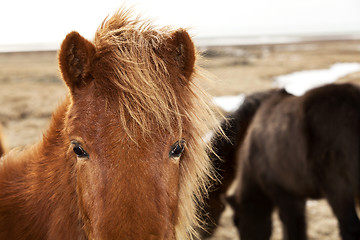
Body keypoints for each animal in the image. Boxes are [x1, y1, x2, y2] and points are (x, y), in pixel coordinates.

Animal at [226, 83, 360, 240]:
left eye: (236, 221)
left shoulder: (284, 193)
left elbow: (294, 227)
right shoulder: (298, 194)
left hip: (338, 186)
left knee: (350, 227)